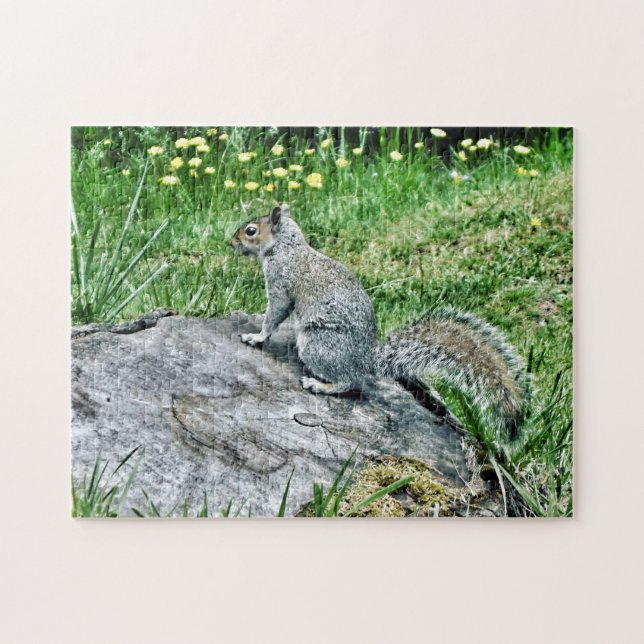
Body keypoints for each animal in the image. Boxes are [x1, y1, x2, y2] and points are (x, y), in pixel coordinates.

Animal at [229, 204, 529, 436]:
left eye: (251, 230)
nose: (230, 243)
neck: (286, 247)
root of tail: (366, 361)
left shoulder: (281, 282)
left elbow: (275, 313)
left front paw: (256, 336)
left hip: (317, 344)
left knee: (348, 382)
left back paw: (319, 384)